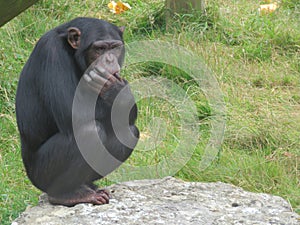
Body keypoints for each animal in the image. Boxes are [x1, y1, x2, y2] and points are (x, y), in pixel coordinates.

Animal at [15, 17, 139, 207]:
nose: (109, 60)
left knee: (127, 131)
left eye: (114, 48)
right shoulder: (51, 51)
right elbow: (73, 113)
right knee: (90, 130)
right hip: (42, 174)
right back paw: (69, 194)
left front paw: (118, 90)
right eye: (100, 49)